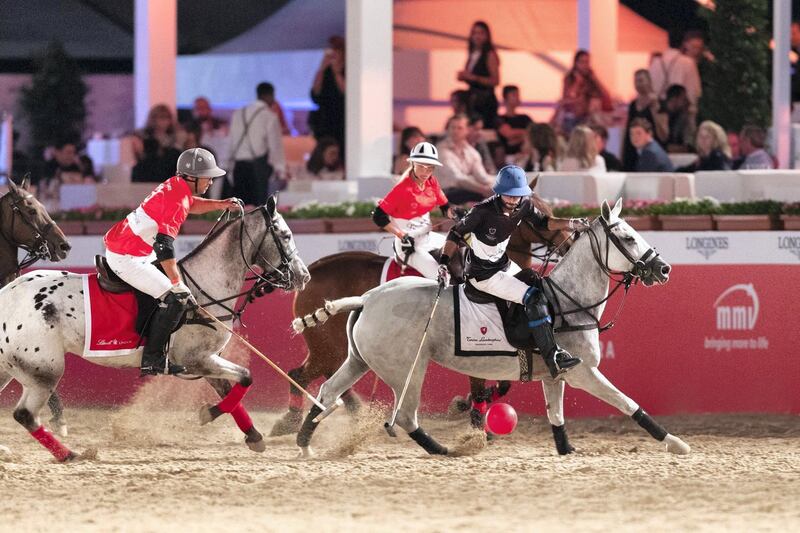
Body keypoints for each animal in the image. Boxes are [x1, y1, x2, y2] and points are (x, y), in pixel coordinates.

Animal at [0, 197, 310, 460]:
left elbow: (233, 389)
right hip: (45, 369)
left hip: (12, 367)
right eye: (285, 235)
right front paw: (209, 415)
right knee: (25, 414)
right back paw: (70, 455)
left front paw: (252, 435)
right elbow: (246, 378)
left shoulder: (206, 361)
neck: (204, 286)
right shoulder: (196, 360)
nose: (303, 276)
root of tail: (8, 294)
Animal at [296, 200, 692, 458]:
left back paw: (304, 441)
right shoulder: (585, 373)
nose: (664, 269)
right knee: (403, 415)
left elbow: (556, 415)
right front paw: (675, 442)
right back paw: (445, 449)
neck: (566, 300)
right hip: (405, 368)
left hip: (359, 359)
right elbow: (628, 404)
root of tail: (366, 298)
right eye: (627, 238)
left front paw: (567, 449)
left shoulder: (556, 374)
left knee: (329, 390)